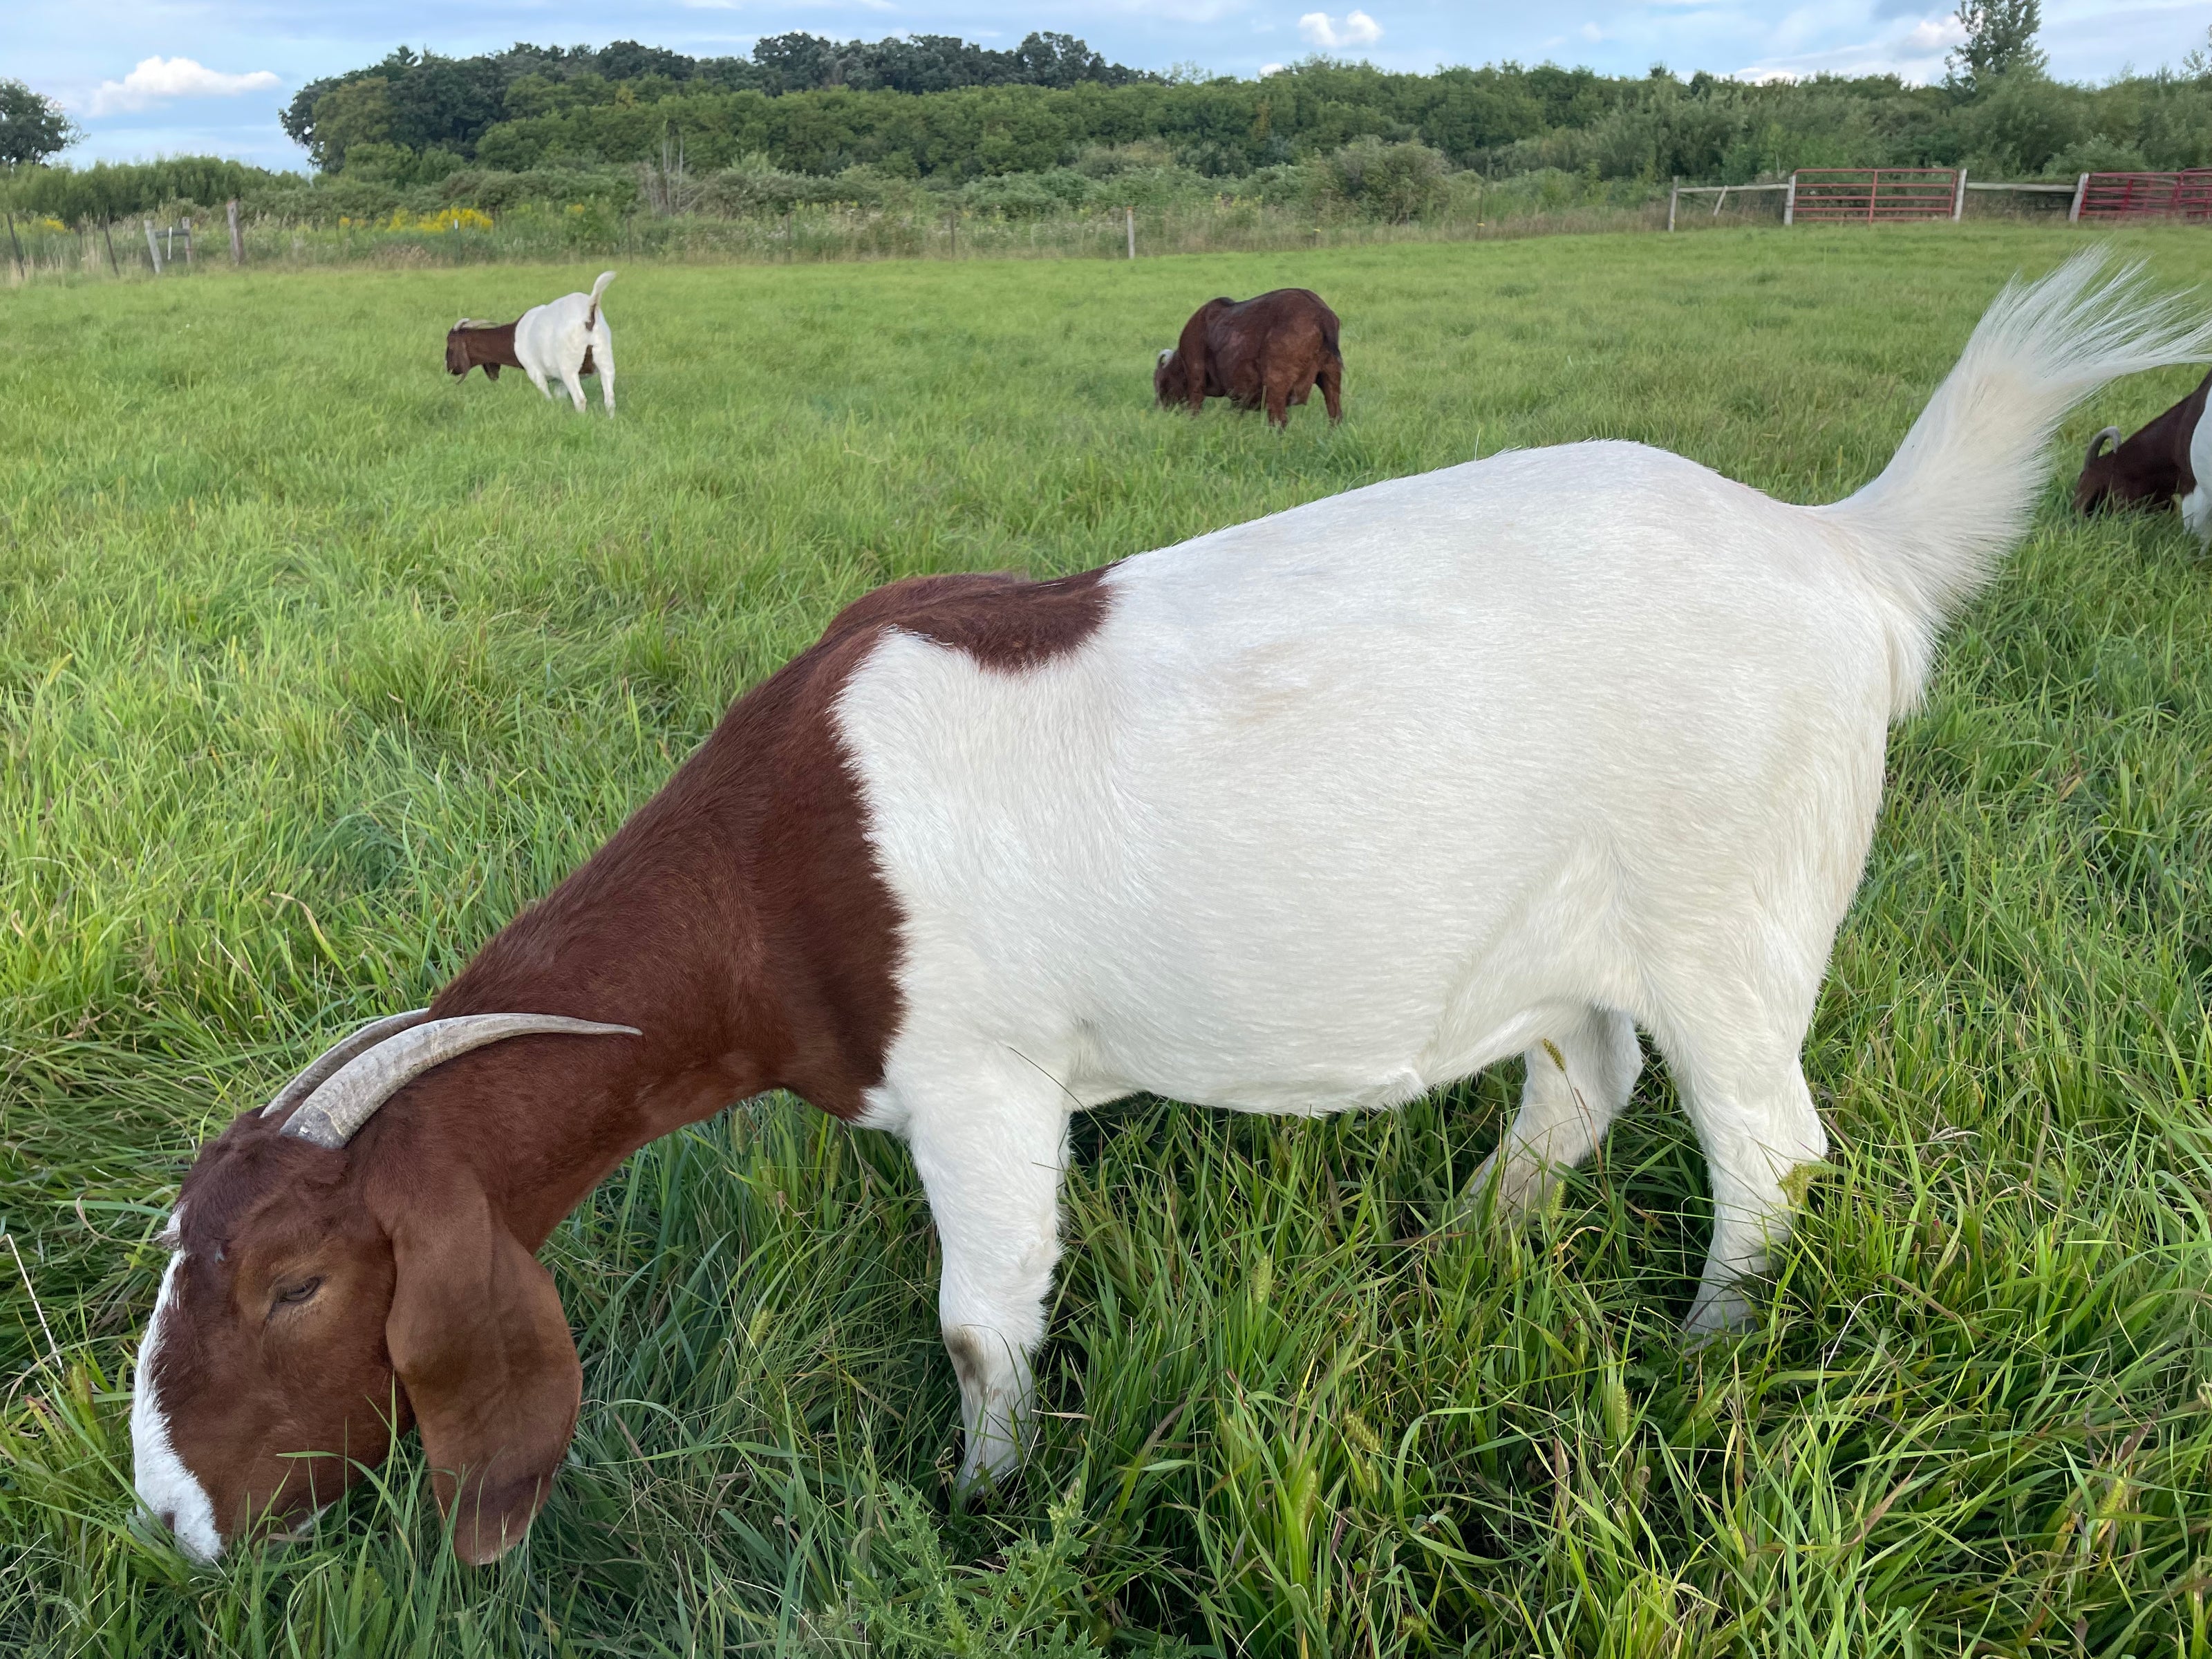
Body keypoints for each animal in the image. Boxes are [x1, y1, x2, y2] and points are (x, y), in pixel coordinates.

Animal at [444, 271, 616, 414]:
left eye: (450, 345)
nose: (450, 369)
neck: (514, 337)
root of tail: (589, 312)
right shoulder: (559, 381)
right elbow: (560, 400)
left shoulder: (535, 373)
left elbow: (549, 398)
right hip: (604, 358)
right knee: (610, 400)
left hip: (569, 367)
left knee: (580, 399)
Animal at [1155, 288, 1343, 427]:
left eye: (1160, 383)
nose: (1159, 409)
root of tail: (1321, 313)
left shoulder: (1196, 378)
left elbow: (1194, 408)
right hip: (1331, 376)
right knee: (1335, 415)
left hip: (1275, 384)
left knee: (1279, 421)